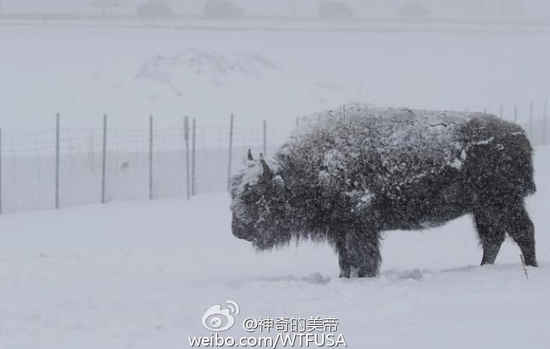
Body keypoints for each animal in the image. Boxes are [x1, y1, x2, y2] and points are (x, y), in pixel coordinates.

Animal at [230, 104, 540, 278]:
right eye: (233, 193)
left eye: (252, 195)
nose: (236, 229)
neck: (306, 167)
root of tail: (518, 134)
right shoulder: (341, 230)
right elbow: (345, 260)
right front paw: (346, 277)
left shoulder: (359, 226)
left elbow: (362, 258)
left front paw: (363, 277)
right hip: (484, 208)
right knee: (493, 238)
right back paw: (484, 268)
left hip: (504, 202)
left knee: (522, 231)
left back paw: (531, 268)